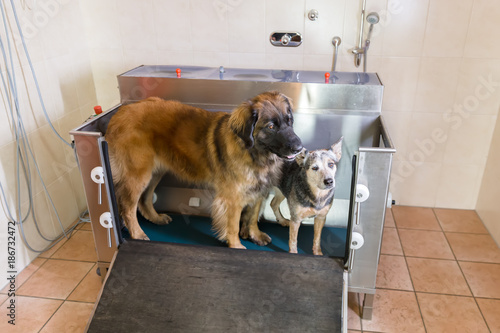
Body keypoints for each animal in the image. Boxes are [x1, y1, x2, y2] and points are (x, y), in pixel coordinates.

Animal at [106, 92, 300, 248]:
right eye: (271, 127)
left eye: (289, 121)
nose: (299, 147)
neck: (254, 152)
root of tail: (119, 113)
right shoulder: (232, 198)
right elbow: (232, 224)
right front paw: (236, 245)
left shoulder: (259, 190)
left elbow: (252, 217)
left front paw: (255, 235)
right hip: (138, 175)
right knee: (128, 207)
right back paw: (137, 233)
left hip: (155, 172)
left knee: (145, 200)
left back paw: (156, 218)